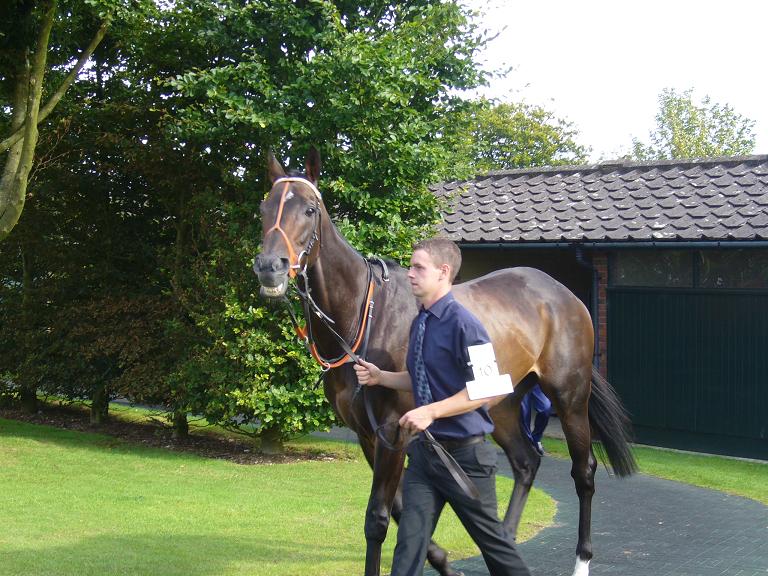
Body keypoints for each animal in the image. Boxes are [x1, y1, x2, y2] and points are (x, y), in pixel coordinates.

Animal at [254, 148, 636, 576]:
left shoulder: (393, 431)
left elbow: (378, 519)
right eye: (264, 207)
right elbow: (402, 511)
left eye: (309, 209)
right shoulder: (369, 435)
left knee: (583, 472)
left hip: (569, 398)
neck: (364, 318)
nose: (269, 266)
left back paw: (581, 559)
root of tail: (563, 294)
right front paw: (444, 562)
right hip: (502, 404)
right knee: (524, 462)